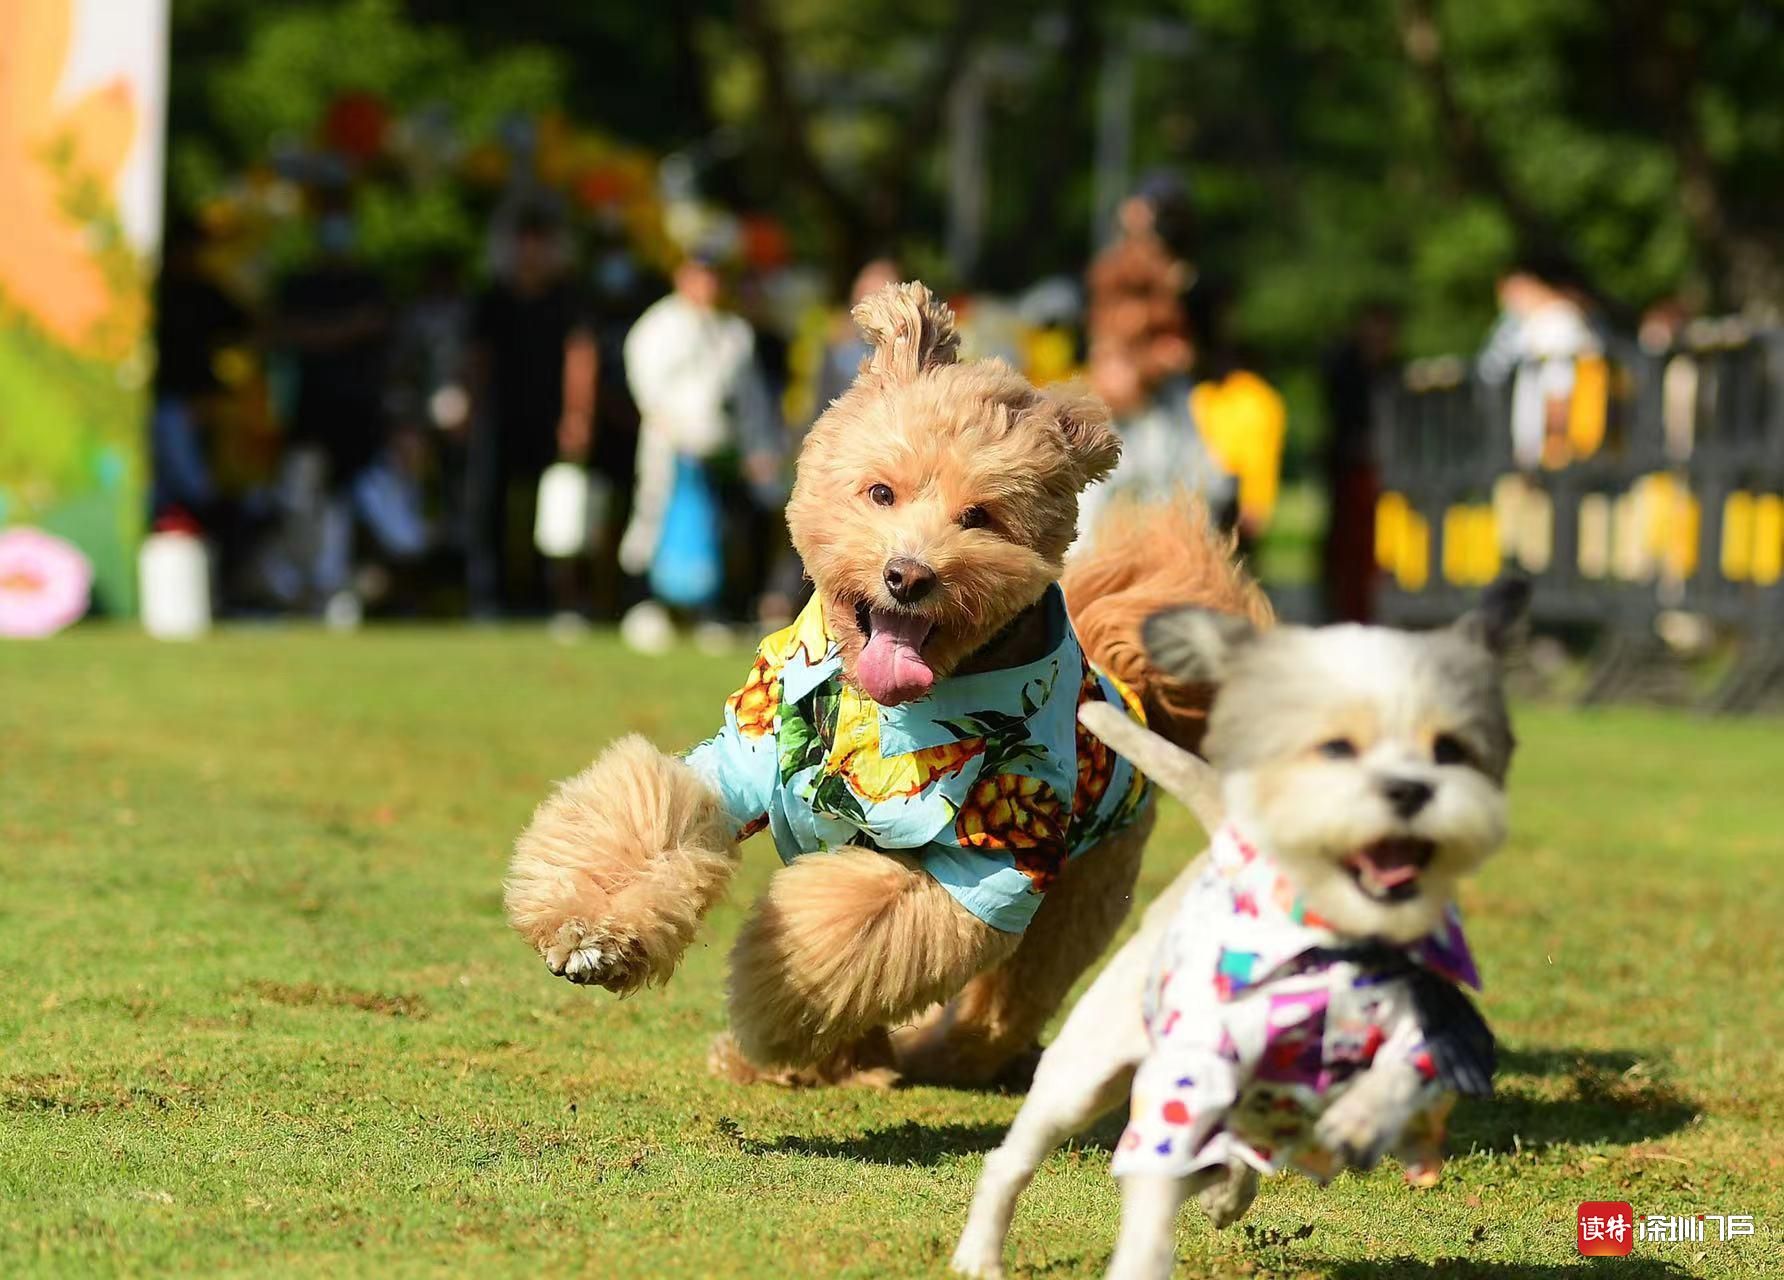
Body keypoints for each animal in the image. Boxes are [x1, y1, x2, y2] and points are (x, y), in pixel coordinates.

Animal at [495, 283, 1263, 1085]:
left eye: (980, 516)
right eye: (880, 492)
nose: (908, 575)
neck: (880, 704)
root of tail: (1134, 692)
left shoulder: (985, 861)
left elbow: (851, 928)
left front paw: (773, 1007)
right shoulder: (744, 752)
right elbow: (657, 810)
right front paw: (593, 932)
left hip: (1070, 905)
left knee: (1001, 1007)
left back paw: (931, 1053)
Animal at [956, 578, 1527, 1278]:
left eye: (1450, 748)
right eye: (1336, 748)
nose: (1411, 789)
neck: (1332, 943)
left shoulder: (1430, 1027)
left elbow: (1405, 1068)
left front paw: (1360, 1119)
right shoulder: (1184, 1083)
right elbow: (1149, 1205)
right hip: (1083, 1071)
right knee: (1011, 1161)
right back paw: (978, 1255)